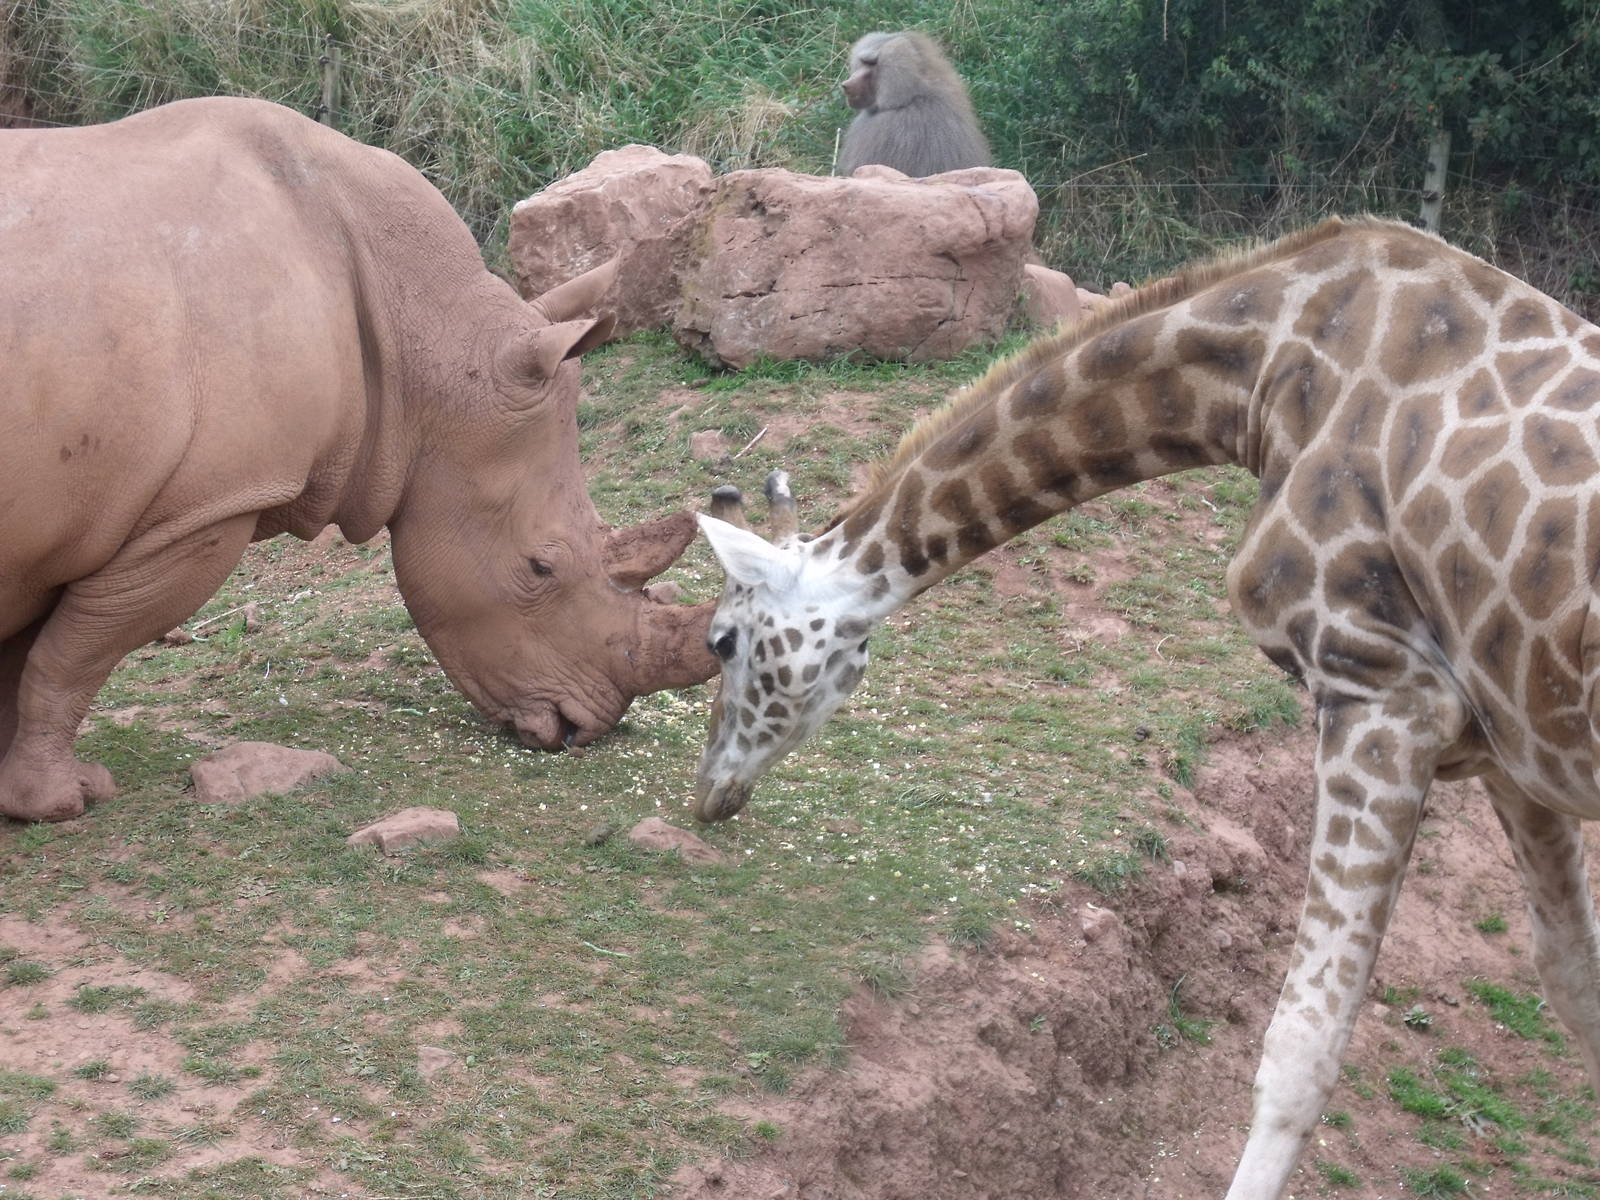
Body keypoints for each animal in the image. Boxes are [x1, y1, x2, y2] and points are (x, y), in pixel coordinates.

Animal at [0, 96, 717, 822]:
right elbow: (75, 655)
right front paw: (59, 802)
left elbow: (30, 655)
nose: (587, 727)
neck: (426, 341)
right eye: (540, 567)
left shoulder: (65, 525)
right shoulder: (203, 508)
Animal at [691, 215, 1600, 1199]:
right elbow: (1572, 981)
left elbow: (1300, 1047)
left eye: (722, 641)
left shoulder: (1383, 694)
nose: (708, 794)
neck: (1263, 375)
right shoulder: (1511, 744)